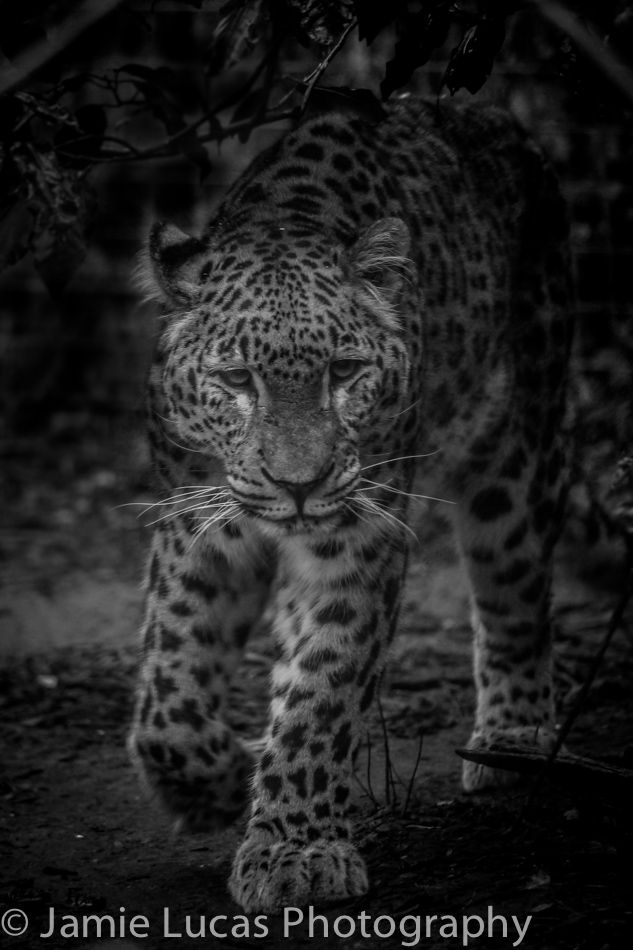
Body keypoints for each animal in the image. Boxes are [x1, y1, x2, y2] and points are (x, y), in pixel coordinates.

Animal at [128, 97, 572, 913]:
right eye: (235, 379)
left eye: (344, 372)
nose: (298, 484)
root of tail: (494, 117)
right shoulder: (195, 527)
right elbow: (169, 680)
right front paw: (207, 785)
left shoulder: (357, 540)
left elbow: (322, 693)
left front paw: (295, 849)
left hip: (519, 452)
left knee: (515, 588)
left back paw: (514, 741)